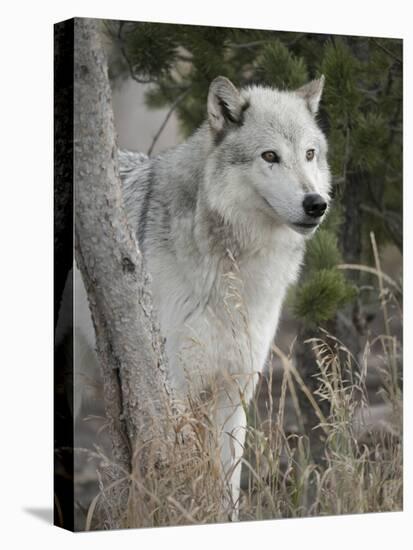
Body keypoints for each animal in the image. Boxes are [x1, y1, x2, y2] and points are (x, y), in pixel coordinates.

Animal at [117, 75, 330, 520]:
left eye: (309, 154)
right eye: (270, 156)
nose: (316, 204)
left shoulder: (234, 392)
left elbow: (228, 485)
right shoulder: (177, 389)